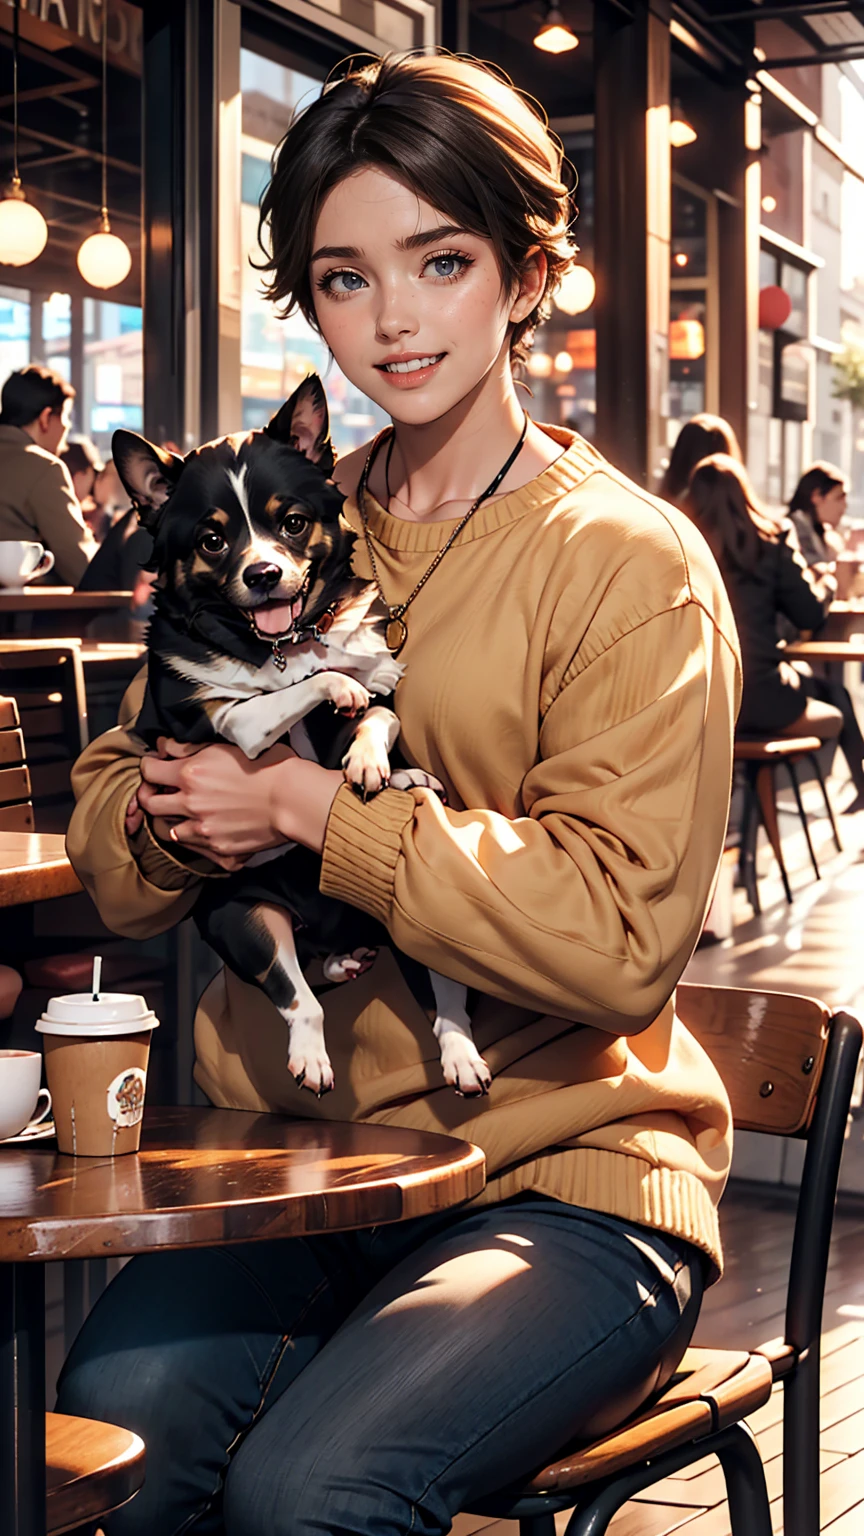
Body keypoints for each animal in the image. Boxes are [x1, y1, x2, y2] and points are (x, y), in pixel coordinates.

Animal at [112, 373, 491, 1099]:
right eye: (212, 541)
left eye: (291, 523)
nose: (262, 574)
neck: (283, 641)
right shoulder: (226, 721)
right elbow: (295, 691)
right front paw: (330, 688)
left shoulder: (377, 682)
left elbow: (378, 712)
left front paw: (369, 759)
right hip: (244, 919)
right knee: (300, 996)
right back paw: (315, 1046)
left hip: (411, 939)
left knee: (448, 1004)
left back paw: (458, 1053)